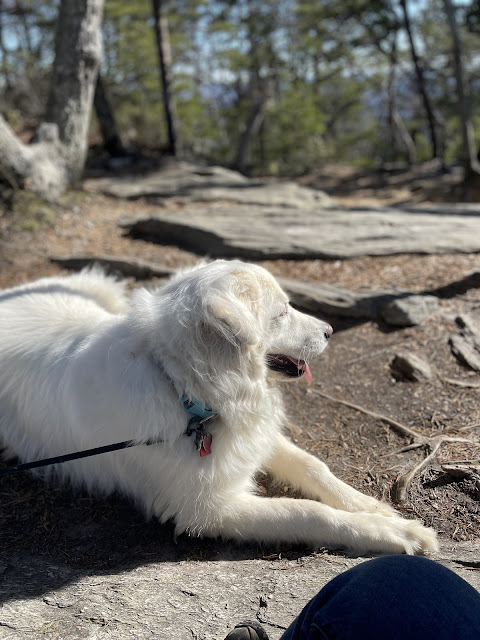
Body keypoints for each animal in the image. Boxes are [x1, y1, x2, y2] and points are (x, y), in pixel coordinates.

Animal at [0, 260, 436, 556]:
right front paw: (396, 533)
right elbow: (308, 512)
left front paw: (374, 508)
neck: (186, 390)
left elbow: (315, 468)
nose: (329, 331)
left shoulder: (251, 432)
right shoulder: (209, 509)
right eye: (281, 312)